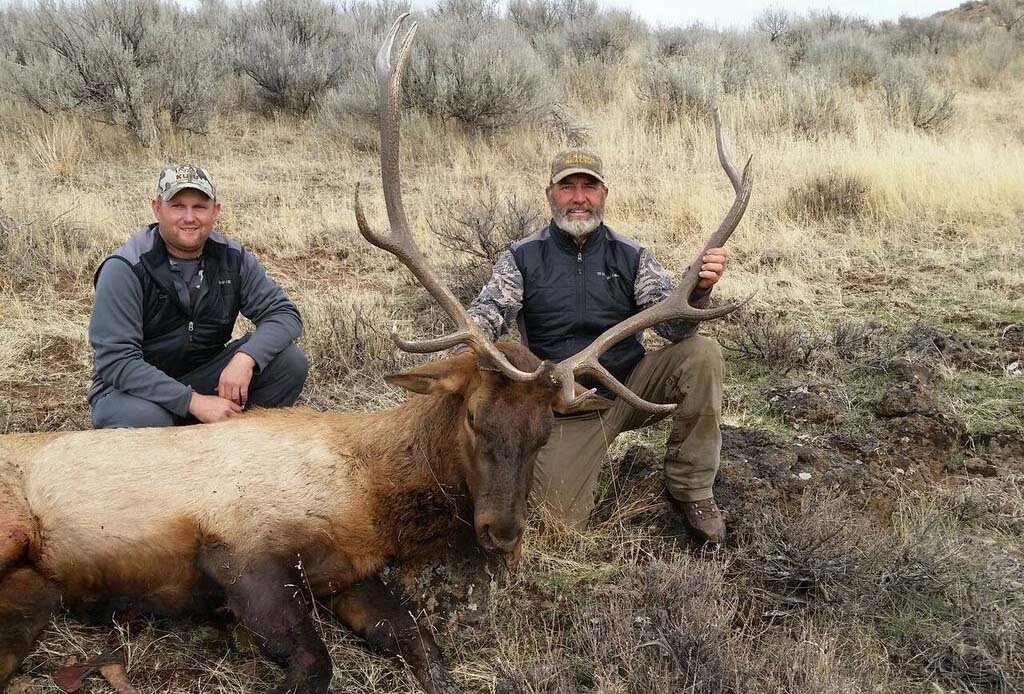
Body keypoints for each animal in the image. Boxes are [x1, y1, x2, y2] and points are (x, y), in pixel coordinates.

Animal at [0, 14, 752, 694]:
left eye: (545, 432)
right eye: (473, 416)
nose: (502, 533)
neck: (369, 497)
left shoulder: (352, 576)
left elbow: (427, 653)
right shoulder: (240, 552)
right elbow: (314, 665)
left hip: (33, 592)